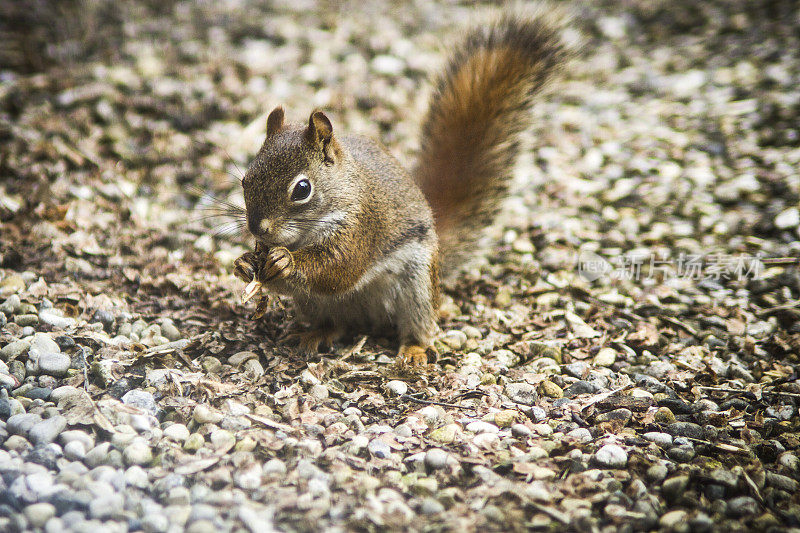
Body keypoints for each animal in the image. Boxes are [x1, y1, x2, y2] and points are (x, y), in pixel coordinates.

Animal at [228, 12, 572, 364]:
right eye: (245, 180)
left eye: (301, 189)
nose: (257, 228)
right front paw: (244, 262)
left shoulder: (362, 227)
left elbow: (339, 267)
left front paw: (287, 261)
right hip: (317, 304)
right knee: (335, 323)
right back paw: (316, 334)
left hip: (417, 288)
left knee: (419, 325)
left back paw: (414, 351)